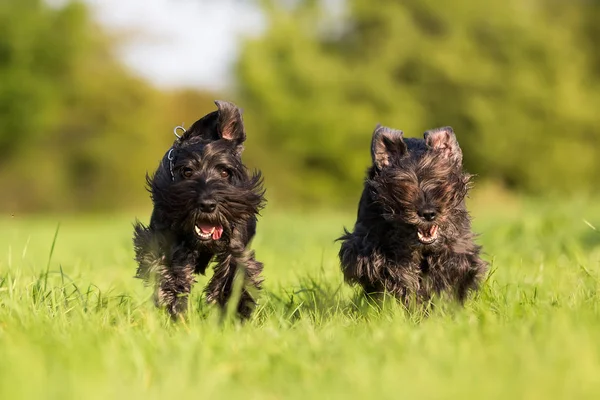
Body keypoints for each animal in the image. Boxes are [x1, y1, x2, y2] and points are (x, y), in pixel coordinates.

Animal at [136, 101, 268, 320]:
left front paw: (235, 310)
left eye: (224, 172)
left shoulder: (237, 245)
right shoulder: (163, 239)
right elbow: (168, 269)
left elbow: (235, 273)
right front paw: (173, 301)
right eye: (187, 171)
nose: (207, 204)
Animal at [338, 126, 488, 308]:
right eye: (404, 185)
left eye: (439, 180)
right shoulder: (366, 246)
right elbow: (396, 272)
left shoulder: (458, 243)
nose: (428, 213)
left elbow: (455, 268)